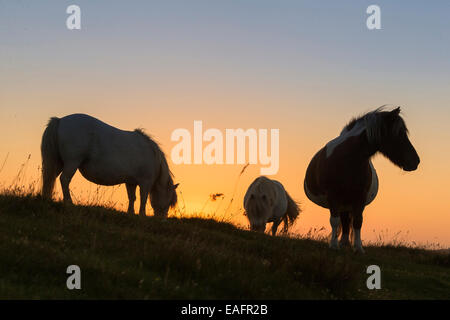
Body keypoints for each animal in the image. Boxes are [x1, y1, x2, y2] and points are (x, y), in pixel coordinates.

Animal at [40, 114, 178, 216]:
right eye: (170, 201)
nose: (162, 219)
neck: (152, 155)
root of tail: (60, 120)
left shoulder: (131, 182)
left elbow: (132, 197)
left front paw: (130, 213)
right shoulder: (145, 182)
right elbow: (143, 198)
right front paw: (142, 215)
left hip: (59, 163)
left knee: (50, 178)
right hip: (72, 162)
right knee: (64, 179)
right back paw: (69, 202)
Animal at [304, 107, 420, 252]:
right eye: (399, 133)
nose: (416, 161)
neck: (348, 159)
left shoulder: (360, 197)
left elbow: (358, 222)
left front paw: (358, 248)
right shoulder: (333, 196)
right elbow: (334, 221)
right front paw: (333, 245)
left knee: (347, 222)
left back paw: (345, 243)